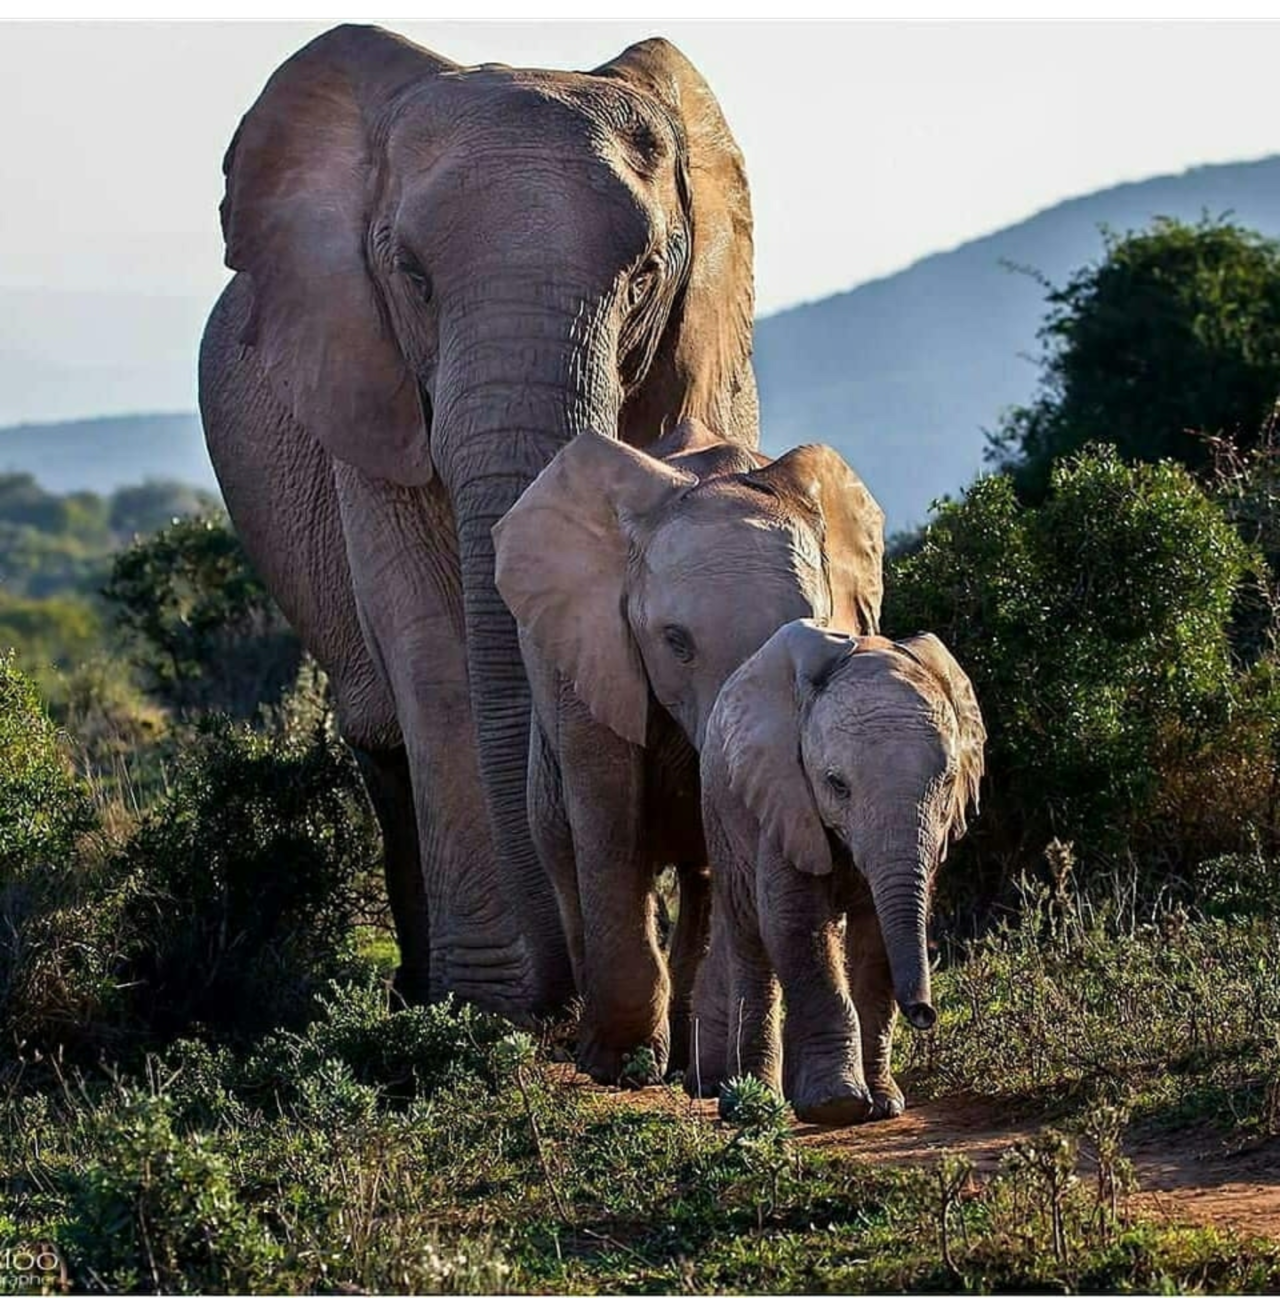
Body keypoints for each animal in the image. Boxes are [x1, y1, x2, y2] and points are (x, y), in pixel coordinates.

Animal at [197, 24, 757, 1019]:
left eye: (647, 275)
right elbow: (430, 647)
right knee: (384, 744)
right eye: (411, 276)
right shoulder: (367, 392)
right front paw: (487, 1008)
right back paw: (420, 998)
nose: (564, 997)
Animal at [491, 420, 885, 1084]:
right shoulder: (595, 647)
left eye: (808, 629)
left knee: (701, 874)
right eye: (675, 642)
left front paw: (718, 1073)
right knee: (561, 844)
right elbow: (609, 825)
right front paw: (618, 1066)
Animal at [690, 620, 985, 1125]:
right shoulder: (784, 796)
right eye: (836, 784)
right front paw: (837, 1106)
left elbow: (876, 939)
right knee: (750, 938)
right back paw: (752, 1104)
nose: (925, 1013)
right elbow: (795, 923)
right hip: (720, 814)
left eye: (948, 783)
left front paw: (883, 1106)